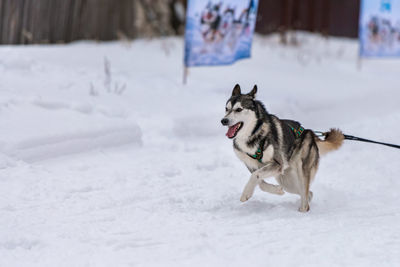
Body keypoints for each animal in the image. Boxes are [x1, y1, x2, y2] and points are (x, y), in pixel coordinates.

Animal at [219, 85, 344, 213]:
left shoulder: (278, 164)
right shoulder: (253, 166)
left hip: (301, 171)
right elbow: (260, 182)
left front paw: (245, 193)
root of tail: (308, 132)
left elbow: (255, 176)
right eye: (226, 109)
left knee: (305, 195)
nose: (224, 121)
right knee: (308, 193)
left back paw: (303, 209)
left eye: (239, 109)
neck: (253, 134)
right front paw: (276, 190)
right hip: (286, 180)